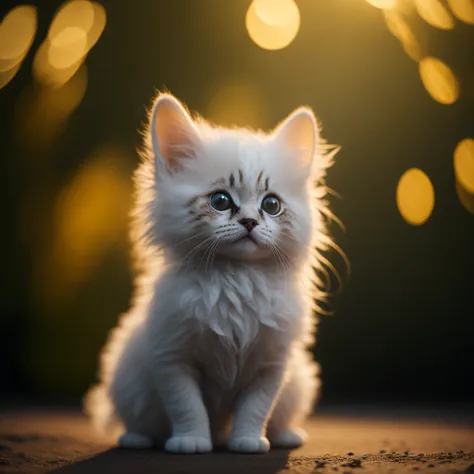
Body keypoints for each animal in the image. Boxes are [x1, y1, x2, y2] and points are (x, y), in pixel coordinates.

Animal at [85, 92, 336, 456]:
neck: (236, 279)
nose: (250, 222)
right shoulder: (172, 359)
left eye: (271, 205)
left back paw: (286, 436)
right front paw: (191, 442)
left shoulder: (271, 365)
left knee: (280, 418)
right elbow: (187, 407)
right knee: (137, 420)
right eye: (220, 201)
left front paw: (248, 442)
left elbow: (255, 409)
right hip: (127, 378)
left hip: (299, 383)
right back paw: (136, 439)